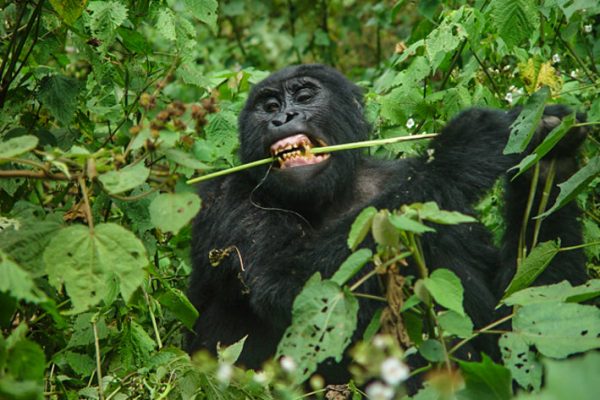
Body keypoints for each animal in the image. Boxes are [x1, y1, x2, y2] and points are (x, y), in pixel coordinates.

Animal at [186, 65, 584, 382]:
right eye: (268, 106)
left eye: (304, 95)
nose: (282, 118)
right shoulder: (225, 196)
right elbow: (290, 281)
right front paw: (465, 144)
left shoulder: (435, 200)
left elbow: (519, 313)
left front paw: (550, 156)